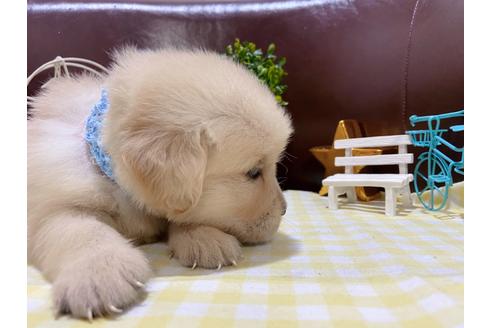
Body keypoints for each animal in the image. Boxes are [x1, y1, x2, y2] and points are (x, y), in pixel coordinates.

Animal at [27, 47, 292, 320]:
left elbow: (181, 214)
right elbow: (83, 230)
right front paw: (99, 273)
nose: (284, 209)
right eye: (253, 172)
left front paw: (204, 238)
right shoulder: (52, 206)